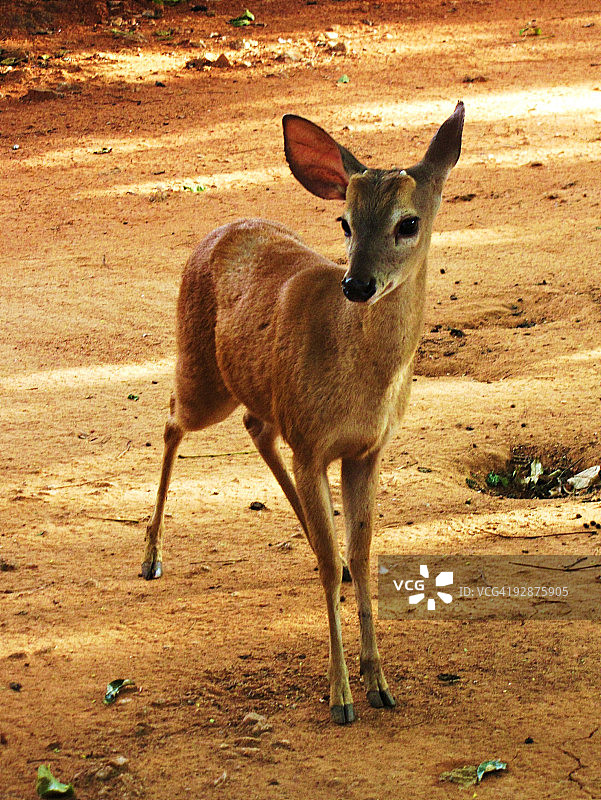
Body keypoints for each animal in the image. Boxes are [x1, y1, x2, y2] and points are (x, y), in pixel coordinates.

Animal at [141, 101, 465, 725]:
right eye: (344, 222)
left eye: (408, 223)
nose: (357, 284)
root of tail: (218, 231)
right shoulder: (314, 444)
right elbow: (331, 563)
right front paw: (340, 697)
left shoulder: (367, 451)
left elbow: (361, 553)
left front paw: (379, 682)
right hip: (202, 372)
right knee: (170, 418)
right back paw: (150, 556)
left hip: (258, 396)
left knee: (255, 427)